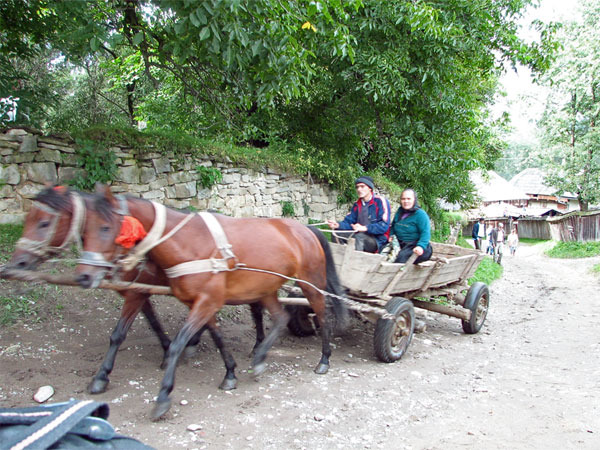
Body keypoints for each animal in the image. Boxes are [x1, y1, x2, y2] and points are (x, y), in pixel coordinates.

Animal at [2, 186, 264, 394]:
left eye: (44, 223)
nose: (17, 263)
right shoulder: (137, 292)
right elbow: (154, 323)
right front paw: (168, 350)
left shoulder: (136, 294)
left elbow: (118, 334)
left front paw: (101, 377)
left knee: (256, 309)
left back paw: (257, 345)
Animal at [75, 185, 346, 420]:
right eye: (84, 232)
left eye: (106, 227)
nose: (84, 275)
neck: (188, 242)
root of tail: (306, 229)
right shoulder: (202, 302)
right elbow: (216, 336)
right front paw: (230, 373)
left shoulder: (201, 301)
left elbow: (175, 344)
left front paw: (163, 396)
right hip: (266, 288)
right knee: (280, 318)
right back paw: (259, 357)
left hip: (311, 283)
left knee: (322, 314)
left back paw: (324, 359)